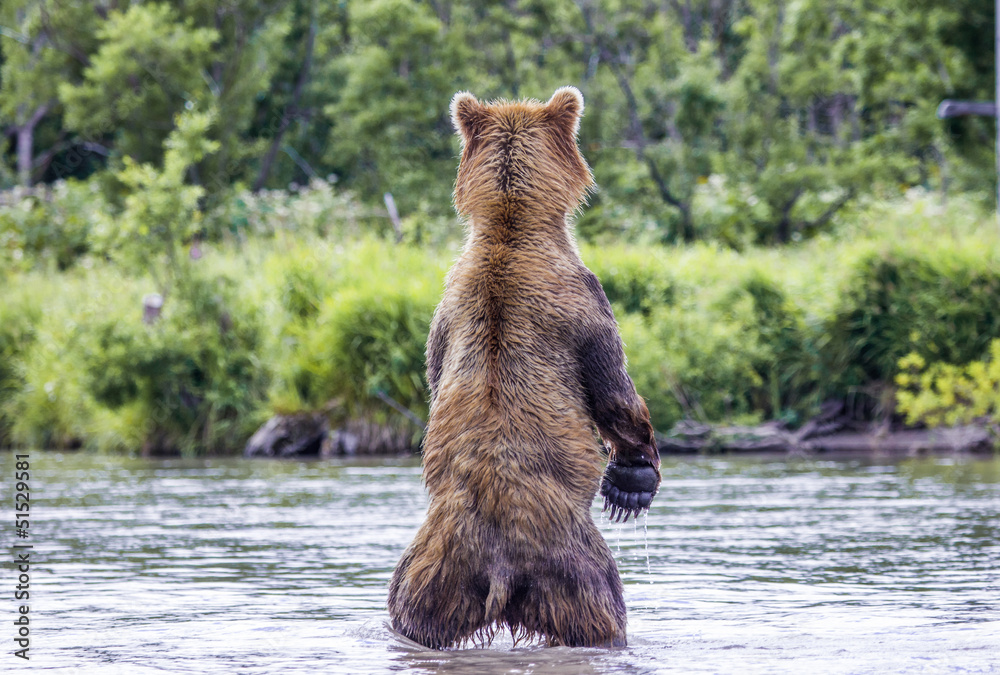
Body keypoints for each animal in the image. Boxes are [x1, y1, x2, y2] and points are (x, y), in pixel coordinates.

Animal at [387, 86, 661, 649]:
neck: (511, 225)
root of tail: (499, 566)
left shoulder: (444, 316)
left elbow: (434, 373)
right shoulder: (584, 297)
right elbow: (613, 391)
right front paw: (633, 478)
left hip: (433, 567)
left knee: (408, 608)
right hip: (573, 564)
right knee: (602, 609)